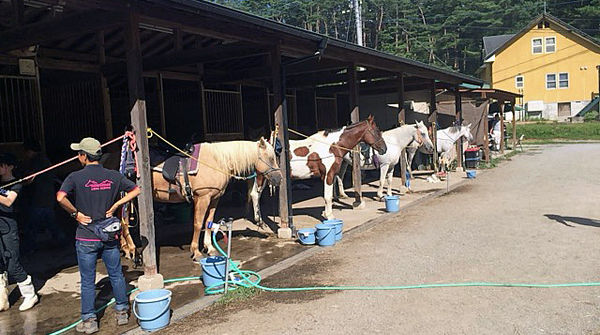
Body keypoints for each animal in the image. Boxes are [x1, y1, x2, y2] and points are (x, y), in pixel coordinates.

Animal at [122, 138, 284, 262]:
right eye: (270, 158)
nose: (279, 179)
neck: (216, 161)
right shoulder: (202, 198)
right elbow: (198, 223)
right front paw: (196, 252)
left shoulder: (214, 198)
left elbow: (208, 222)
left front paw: (210, 248)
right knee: (123, 223)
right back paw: (132, 250)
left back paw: (126, 249)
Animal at [246, 115, 386, 223]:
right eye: (376, 131)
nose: (384, 149)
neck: (332, 146)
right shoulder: (329, 175)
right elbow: (328, 197)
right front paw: (329, 216)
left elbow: (329, 195)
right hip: (262, 176)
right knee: (255, 195)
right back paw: (260, 221)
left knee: (255, 194)